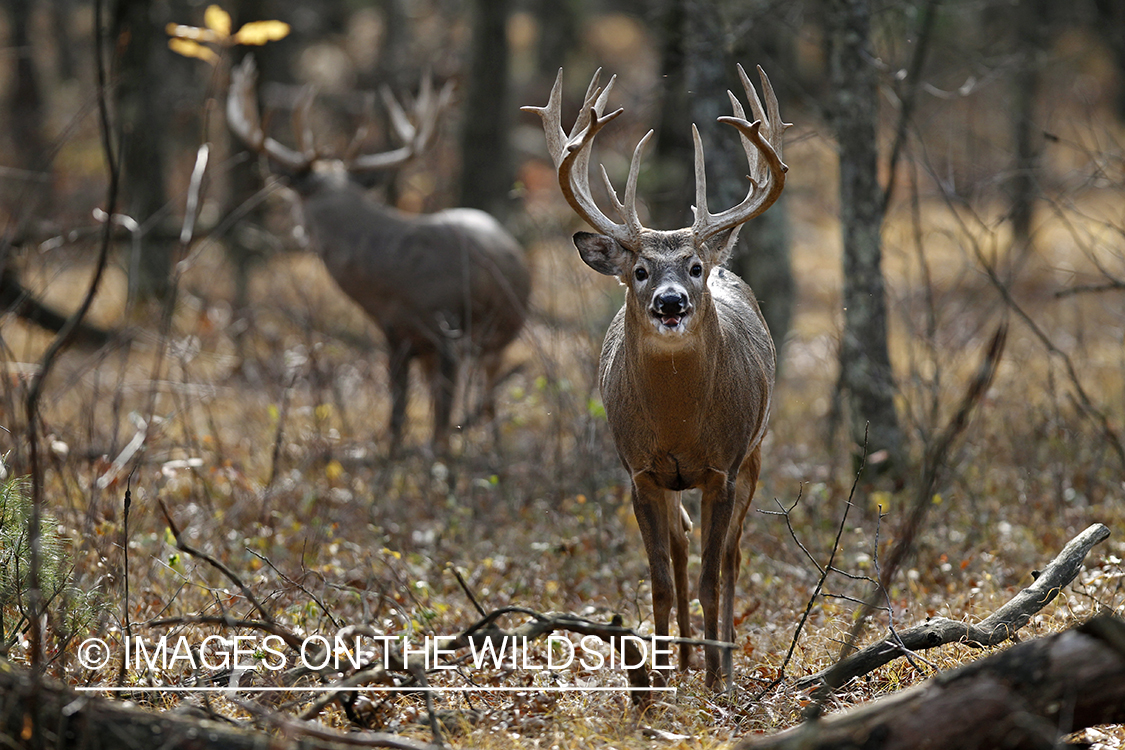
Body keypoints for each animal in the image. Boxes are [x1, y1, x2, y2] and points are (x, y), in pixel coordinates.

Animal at [228, 55, 531, 454]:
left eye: (299, 205)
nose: (298, 233)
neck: (392, 280)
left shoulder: (446, 328)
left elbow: (440, 415)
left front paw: (440, 460)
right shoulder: (395, 334)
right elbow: (398, 412)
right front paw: (393, 457)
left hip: (492, 340)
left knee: (486, 397)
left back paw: (492, 449)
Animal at [524, 66, 783, 692]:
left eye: (694, 267)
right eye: (639, 270)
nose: (671, 302)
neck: (678, 426)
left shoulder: (722, 467)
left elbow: (714, 576)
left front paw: (716, 683)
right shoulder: (639, 470)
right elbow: (661, 579)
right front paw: (660, 679)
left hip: (756, 451)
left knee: (732, 556)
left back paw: (721, 658)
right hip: (672, 481)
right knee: (683, 544)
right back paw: (683, 659)